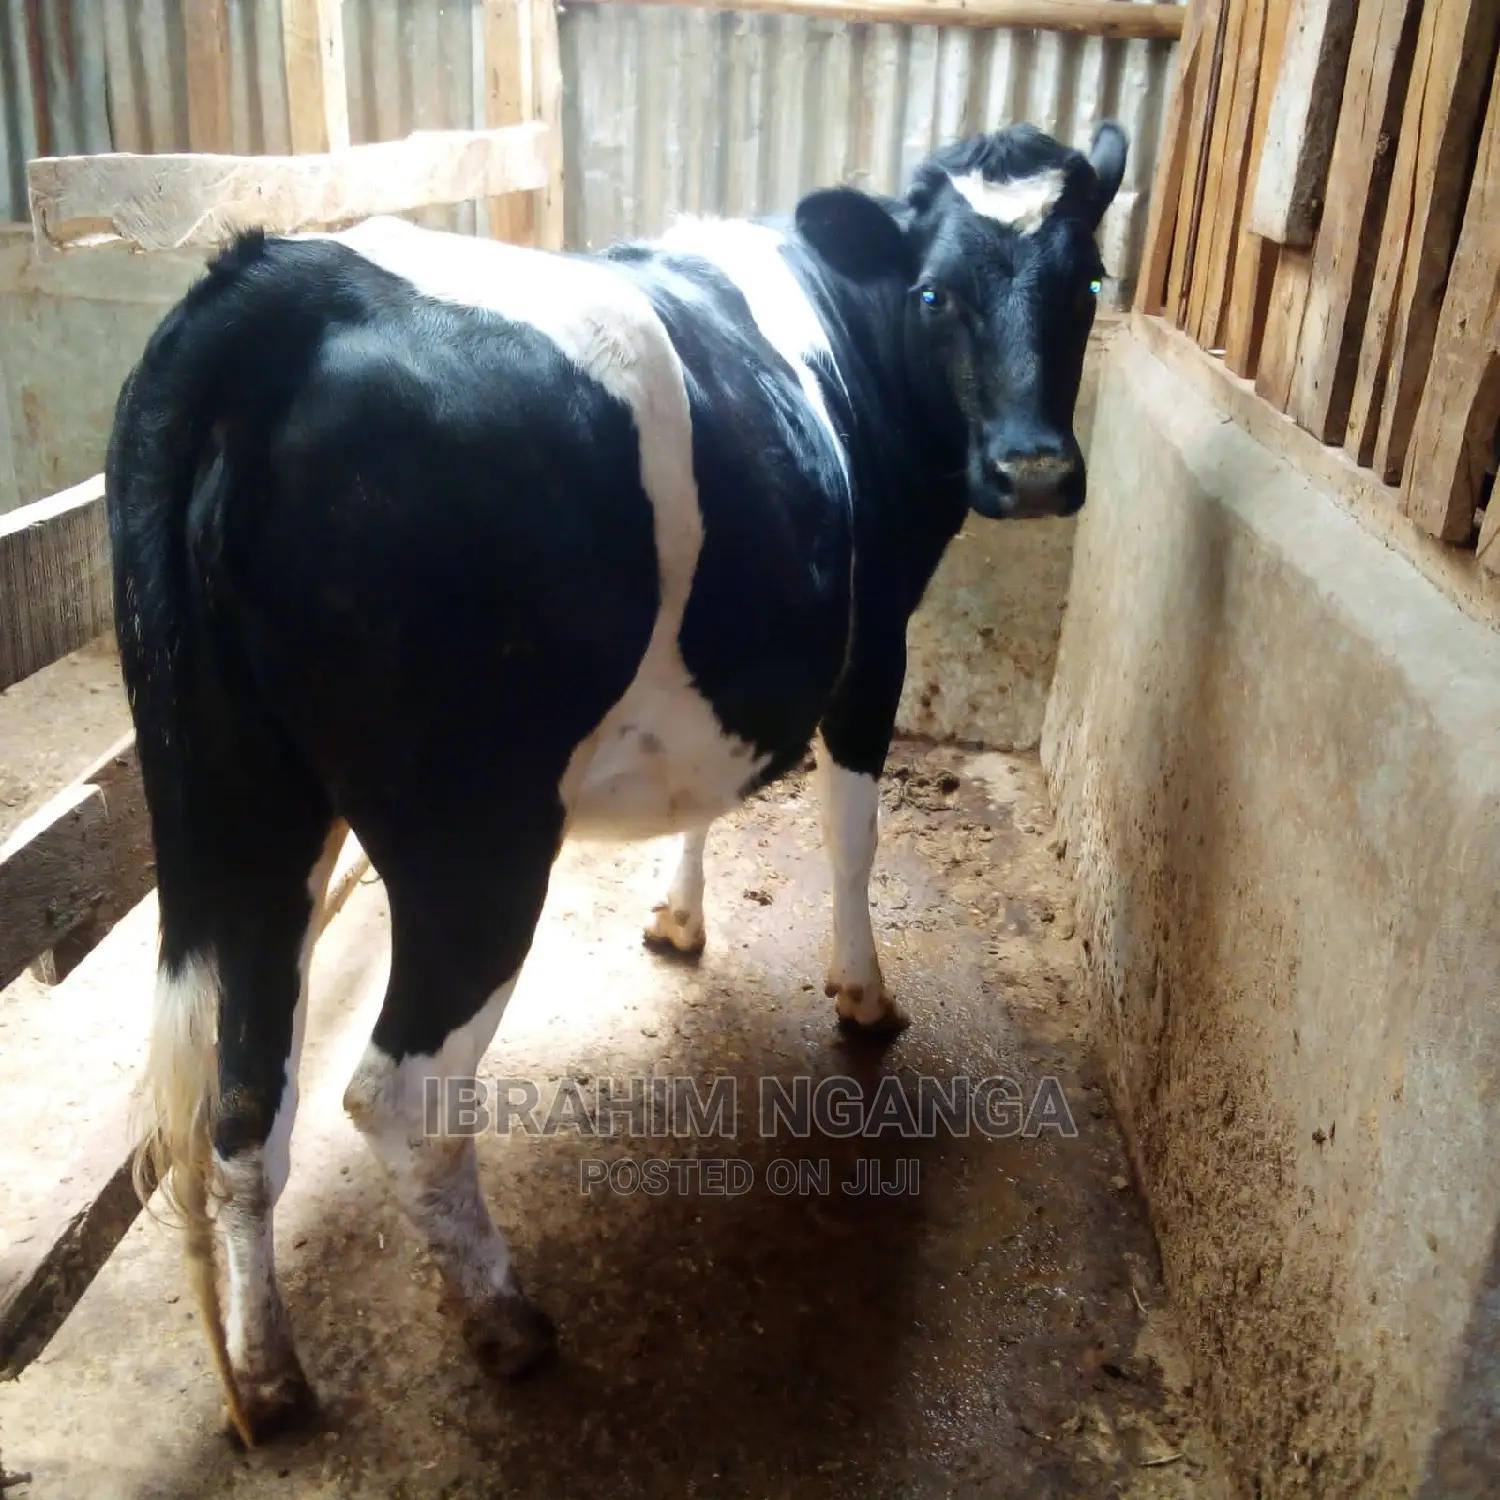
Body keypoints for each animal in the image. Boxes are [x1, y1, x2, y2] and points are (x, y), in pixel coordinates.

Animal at [110, 119, 1126, 1444]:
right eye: (937, 292)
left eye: (1088, 281)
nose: (1035, 470)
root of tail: (278, 283)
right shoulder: (872, 650)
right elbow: (852, 836)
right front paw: (863, 995)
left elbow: (705, 804)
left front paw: (678, 920)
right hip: (472, 837)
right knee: (398, 1097)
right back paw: (506, 1318)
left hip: (241, 811)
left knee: (239, 1108)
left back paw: (272, 1375)